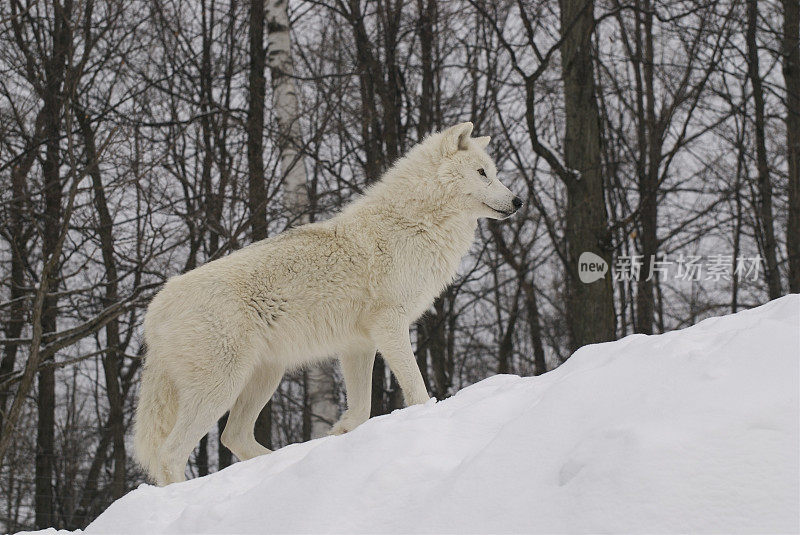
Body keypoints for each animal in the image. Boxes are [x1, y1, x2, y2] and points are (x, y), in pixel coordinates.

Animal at [133, 122, 520, 486]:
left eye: (494, 172)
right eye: (483, 173)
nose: (518, 201)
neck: (413, 223)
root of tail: (156, 308)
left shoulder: (359, 346)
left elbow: (360, 409)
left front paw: (340, 435)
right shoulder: (390, 326)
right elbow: (417, 391)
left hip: (264, 377)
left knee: (234, 437)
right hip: (222, 387)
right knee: (171, 453)